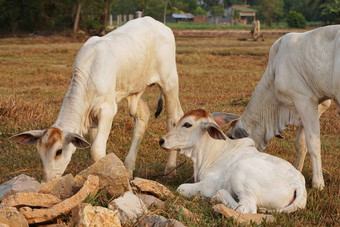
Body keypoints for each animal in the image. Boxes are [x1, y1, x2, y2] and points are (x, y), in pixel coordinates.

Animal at [7, 16, 183, 182]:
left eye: (59, 151)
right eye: (39, 151)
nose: (46, 181)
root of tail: (161, 25)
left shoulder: (107, 110)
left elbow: (97, 150)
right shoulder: (93, 118)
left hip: (169, 82)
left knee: (173, 119)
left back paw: (170, 169)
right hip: (134, 88)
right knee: (143, 116)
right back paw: (128, 168)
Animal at [159, 109, 306, 214]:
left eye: (187, 124)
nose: (162, 140)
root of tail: (298, 183)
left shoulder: (209, 184)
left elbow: (181, 188)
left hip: (241, 172)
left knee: (247, 208)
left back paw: (216, 198)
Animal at [223, 24, 340, 189]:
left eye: (232, 139)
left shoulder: (304, 100)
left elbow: (313, 142)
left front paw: (318, 184)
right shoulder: (317, 104)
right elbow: (301, 143)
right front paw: (297, 171)